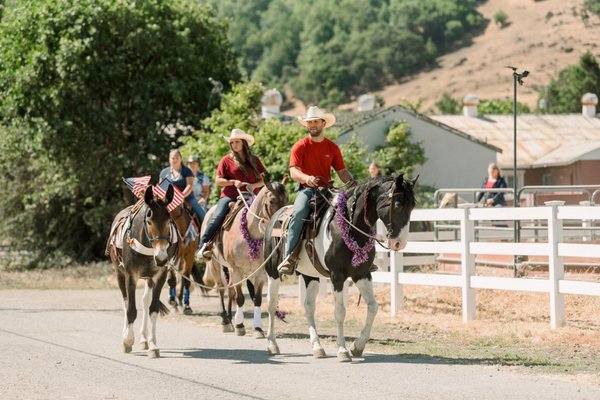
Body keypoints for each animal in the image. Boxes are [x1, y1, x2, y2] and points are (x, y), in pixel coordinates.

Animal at [106, 186, 177, 358]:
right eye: (149, 221)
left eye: (169, 221)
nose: (161, 258)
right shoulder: (130, 276)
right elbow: (131, 310)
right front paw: (127, 341)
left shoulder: (160, 276)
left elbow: (153, 309)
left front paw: (153, 345)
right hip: (119, 274)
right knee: (125, 302)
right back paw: (126, 333)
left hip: (149, 278)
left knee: (145, 302)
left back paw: (144, 339)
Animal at [203, 182, 290, 338]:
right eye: (271, 201)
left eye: (286, 200)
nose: (281, 226)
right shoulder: (236, 269)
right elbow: (240, 298)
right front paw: (240, 326)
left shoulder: (260, 272)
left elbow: (257, 298)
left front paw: (258, 328)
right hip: (215, 265)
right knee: (221, 290)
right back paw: (225, 321)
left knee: (230, 290)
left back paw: (230, 319)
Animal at [264, 175, 414, 362]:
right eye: (398, 204)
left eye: (412, 206)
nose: (400, 243)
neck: (350, 227)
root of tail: (275, 216)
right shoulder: (337, 276)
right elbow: (340, 311)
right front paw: (342, 350)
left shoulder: (362, 274)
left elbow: (373, 306)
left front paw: (358, 346)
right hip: (273, 272)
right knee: (271, 304)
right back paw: (272, 344)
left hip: (310, 275)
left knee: (309, 306)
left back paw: (317, 347)